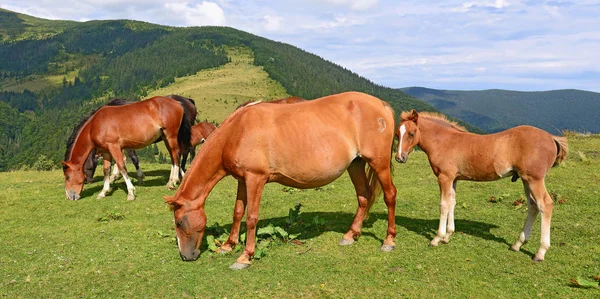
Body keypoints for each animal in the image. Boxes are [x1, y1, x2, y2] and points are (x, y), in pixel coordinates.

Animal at [62, 96, 192, 202]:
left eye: (67, 177)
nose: (69, 196)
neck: (95, 124)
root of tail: (178, 103)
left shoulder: (114, 147)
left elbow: (122, 166)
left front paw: (130, 192)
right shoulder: (106, 151)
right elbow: (106, 170)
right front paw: (103, 192)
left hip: (171, 135)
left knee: (176, 155)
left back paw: (174, 181)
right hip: (165, 137)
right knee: (173, 156)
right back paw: (170, 181)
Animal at [164, 91, 398, 270]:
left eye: (179, 222)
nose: (186, 256)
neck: (237, 131)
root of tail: (382, 105)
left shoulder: (255, 179)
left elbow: (251, 217)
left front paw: (245, 256)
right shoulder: (242, 180)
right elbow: (238, 212)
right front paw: (228, 245)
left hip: (379, 164)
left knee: (390, 195)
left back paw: (388, 240)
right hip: (356, 164)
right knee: (363, 195)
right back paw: (350, 235)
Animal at [394, 110, 568, 262]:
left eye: (411, 133)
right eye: (397, 134)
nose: (399, 158)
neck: (444, 141)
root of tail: (551, 138)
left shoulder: (445, 178)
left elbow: (443, 205)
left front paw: (437, 238)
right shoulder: (454, 179)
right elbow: (452, 203)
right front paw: (448, 236)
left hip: (534, 179)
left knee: (545, 204)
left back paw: (540, 252)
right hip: (526, 180)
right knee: (533, 206)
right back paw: (517, 244)